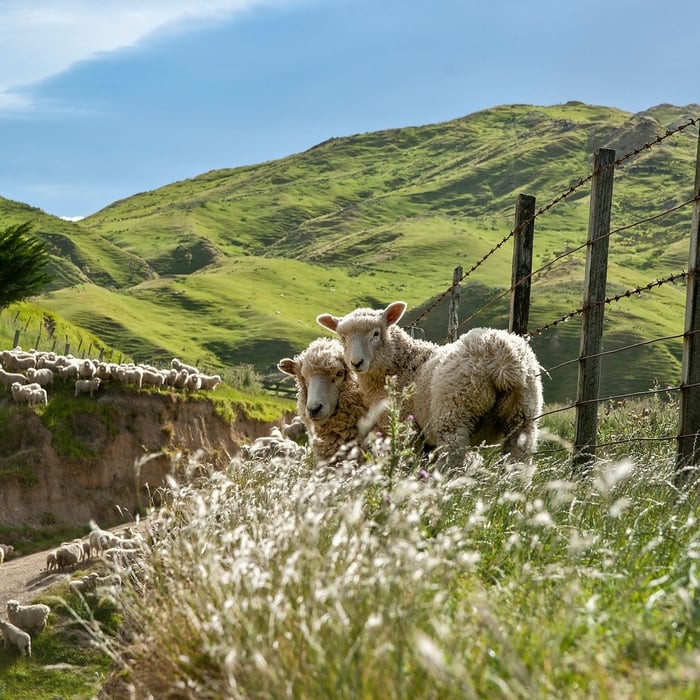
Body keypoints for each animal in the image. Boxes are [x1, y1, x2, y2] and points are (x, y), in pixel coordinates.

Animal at [317, 301, 544, 469]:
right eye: (343, 337)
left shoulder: (406, 425)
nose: (356, 363)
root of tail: (501, 355)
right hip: (524, 413)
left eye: (376, 333)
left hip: (455, 412)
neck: (402, 364)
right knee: (520, 456)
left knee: (453, 457)